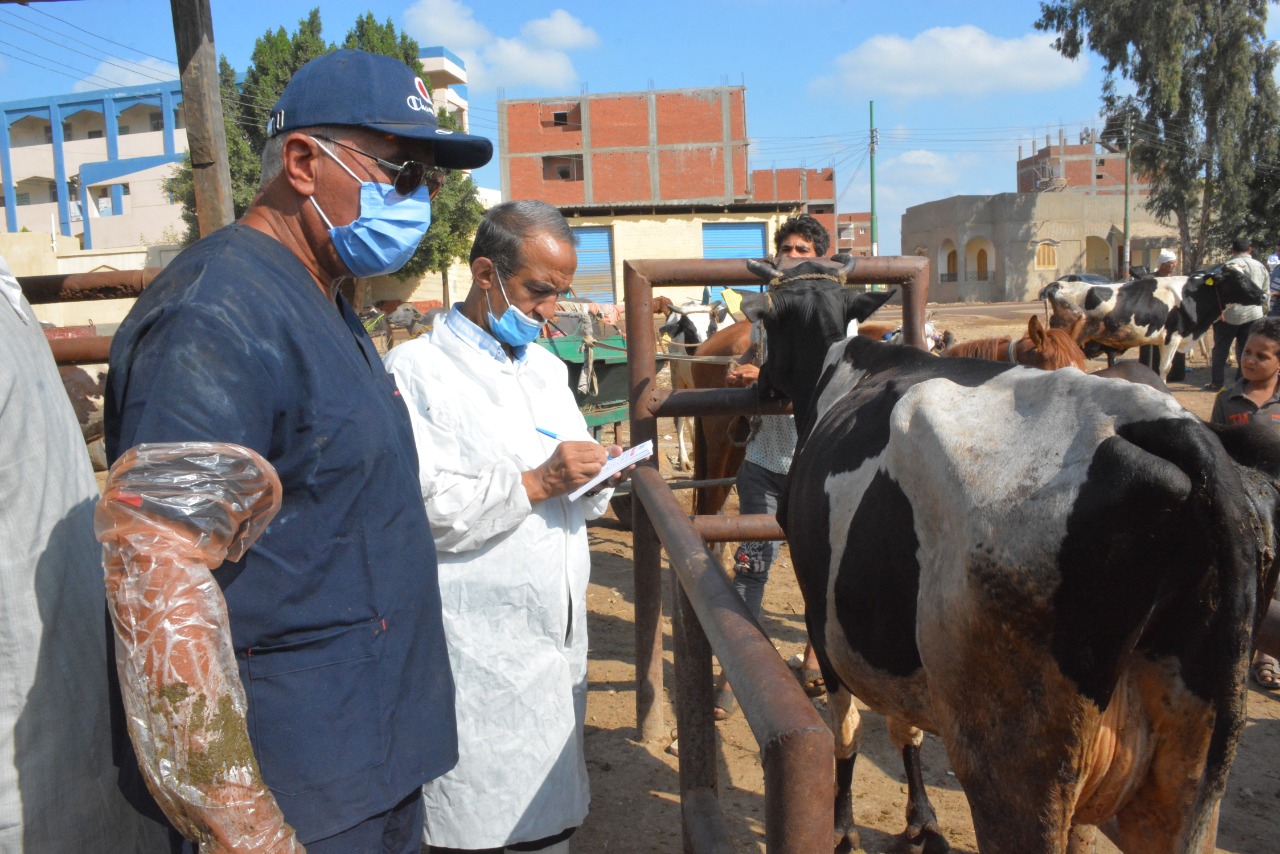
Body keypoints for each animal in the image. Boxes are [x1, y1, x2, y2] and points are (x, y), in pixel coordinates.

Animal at [742, 280, 1280, 854]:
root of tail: (1168, 425)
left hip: (1011, 754)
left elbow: (851, 729)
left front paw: (843, 824)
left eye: (764, 327)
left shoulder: (825, 616)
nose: (757, 384)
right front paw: (921, 821)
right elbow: (903, 728)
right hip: (1181, 759)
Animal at [1044, 263, 1264, 376]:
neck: (1191, 294)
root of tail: (1058, 285)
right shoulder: (1172, 337)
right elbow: (1165, 368)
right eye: (1240, 278)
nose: (1262, 296)